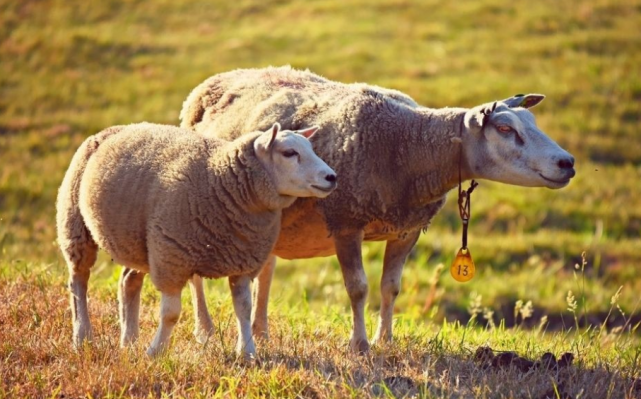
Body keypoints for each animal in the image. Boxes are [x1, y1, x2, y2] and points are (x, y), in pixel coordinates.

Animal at [57, 120, 338, 358]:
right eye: (289, 153)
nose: (332, 177)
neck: (220, 179)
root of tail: (114, 129)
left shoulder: (243, 261)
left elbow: (244, 309)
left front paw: (248, 353)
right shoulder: (172, 257)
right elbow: (171, 314)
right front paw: (155, 353)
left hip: (137, 242)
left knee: (128, 282)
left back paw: (129, 341)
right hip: (75, 224)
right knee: (78, 282)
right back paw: (82, 337)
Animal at [155, 65, 576, 354]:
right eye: (505, 130)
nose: (567, 162)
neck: (408, 147)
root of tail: (213, 81)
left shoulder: (407, 229)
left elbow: (391, 287)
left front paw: (385, 339)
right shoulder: (345, 220)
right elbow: (357, 288)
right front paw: (359, 345)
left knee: (266, 270)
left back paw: (260, 330)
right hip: (196, 205)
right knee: (196, 276)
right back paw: (205, 330)